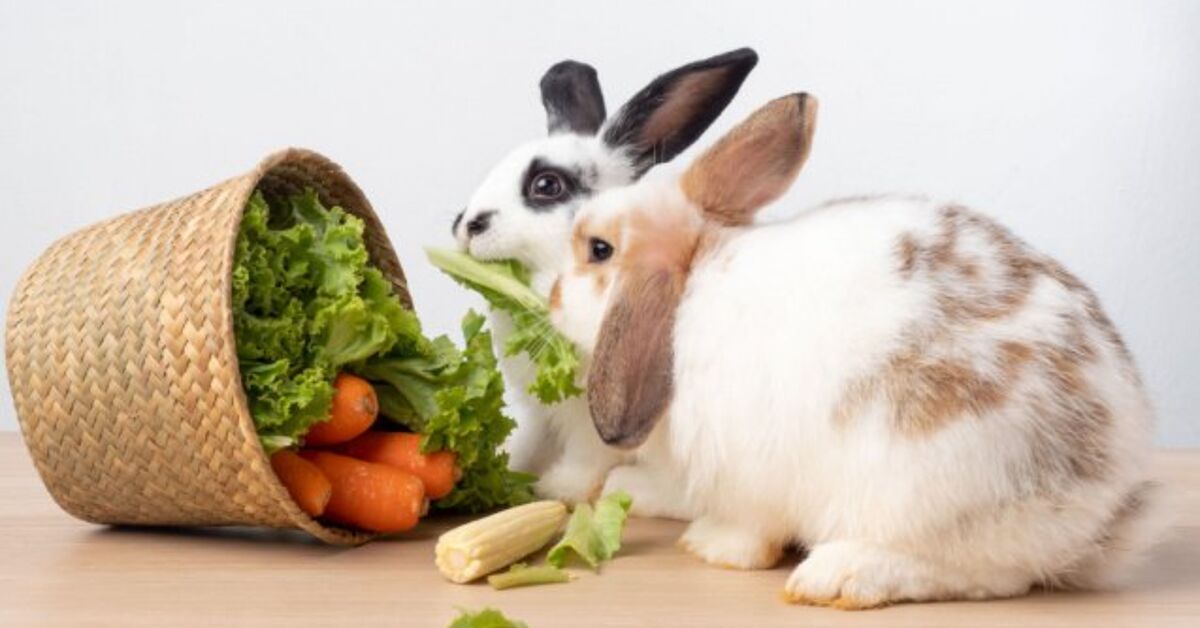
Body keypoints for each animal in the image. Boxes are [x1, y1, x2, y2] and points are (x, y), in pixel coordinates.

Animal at [453, 48, 758, 504]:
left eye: (547, 184)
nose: (467, 225)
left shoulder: (593, 414)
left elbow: (587, 456)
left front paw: (560, 487)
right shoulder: (541, 413)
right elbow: (528, 442)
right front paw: (512, 468)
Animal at [548, 93, 1164, 607]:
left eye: (598, 250)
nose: (551, 297)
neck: (692, 282)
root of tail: (1106, 501)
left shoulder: (748, 474)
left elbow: (749, 530)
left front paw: (712, 546)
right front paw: (630, 489)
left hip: (925, 484)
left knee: (987, 574)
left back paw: (841, 575)